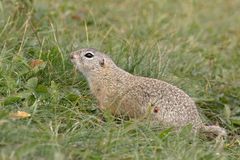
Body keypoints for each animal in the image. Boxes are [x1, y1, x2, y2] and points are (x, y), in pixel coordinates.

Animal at [70, 48, 227, 137]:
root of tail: (199, 125)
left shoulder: (107, 97)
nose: (71, 55)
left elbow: (106, 109)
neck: (105, 75)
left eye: (88, 55)